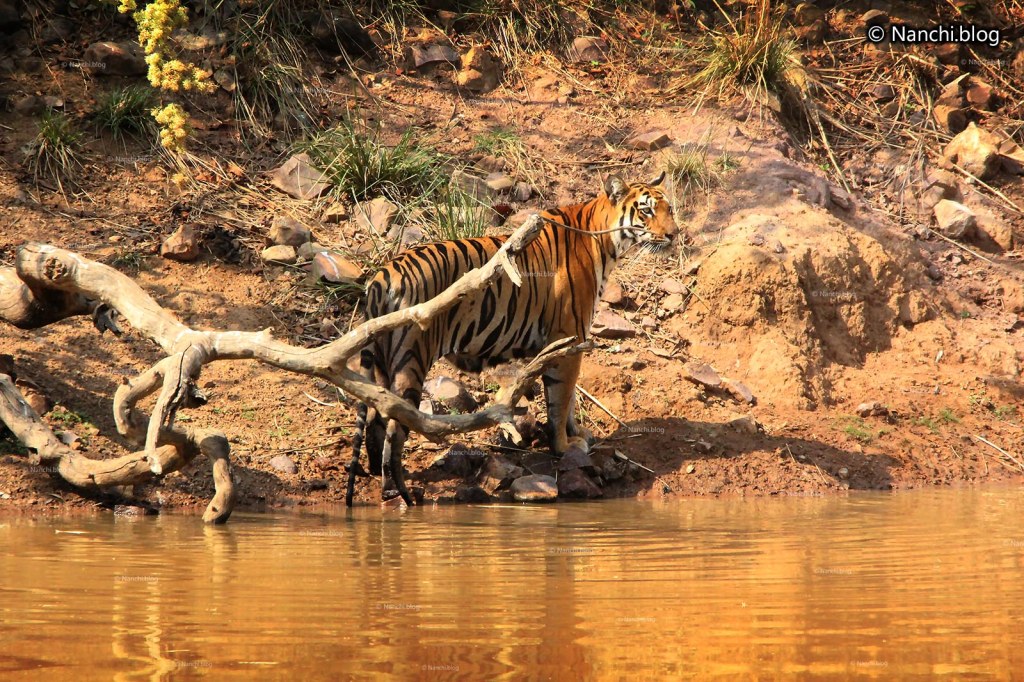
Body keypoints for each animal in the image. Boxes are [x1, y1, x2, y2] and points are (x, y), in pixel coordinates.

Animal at [346, 173, 679, 506]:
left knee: (375, 416)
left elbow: (570, 398)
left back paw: (378, 475)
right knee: (394, 426)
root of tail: (381, 278)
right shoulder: (567, 339)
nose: (674, 235)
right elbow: (561, 399)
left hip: (382, 365)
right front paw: (564, 446)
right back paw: (397, 489)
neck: (604, 240)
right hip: (411, 360)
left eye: (669, 209)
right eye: (646, 211)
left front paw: (577, 434)